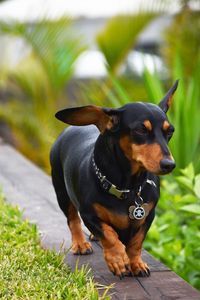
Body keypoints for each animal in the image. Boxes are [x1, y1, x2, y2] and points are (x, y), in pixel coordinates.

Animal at [50, 81, 178, 278]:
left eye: (170, 131)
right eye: (141, 129)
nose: (169, 165)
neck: (127, 188)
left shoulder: (148, 216)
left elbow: (136, 243)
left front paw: (136, 264)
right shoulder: (89, 214)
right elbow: (109, 235)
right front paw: (118, 260)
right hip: (61, 192)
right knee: (72, 220)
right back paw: (80, 244)